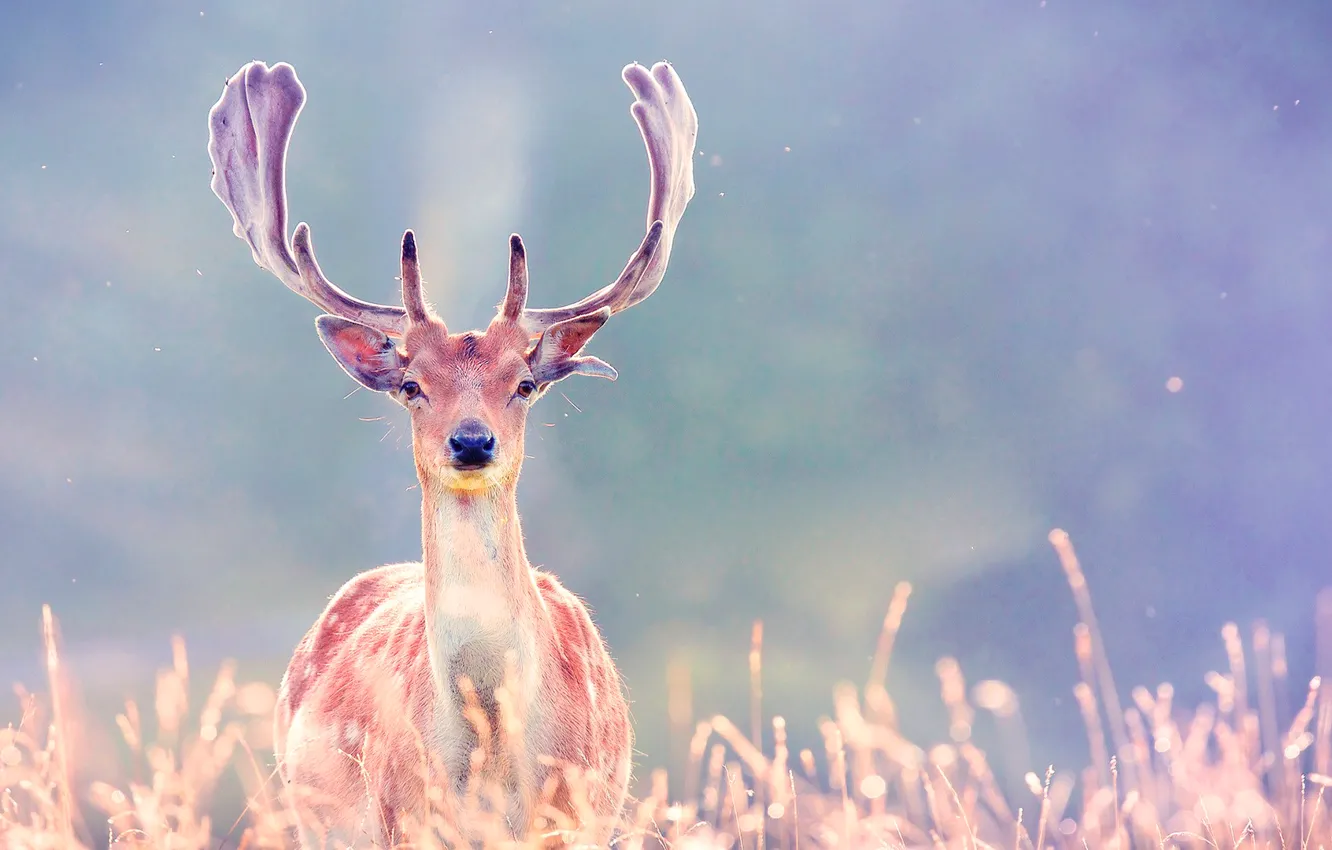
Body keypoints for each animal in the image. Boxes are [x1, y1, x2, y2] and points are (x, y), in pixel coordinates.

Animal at [206, 60, 697, 848]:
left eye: (524, 383)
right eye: (412, 384)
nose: (471, 440)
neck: (494, 758)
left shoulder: (584, 811)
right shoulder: (403, 816)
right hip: (310, 813)